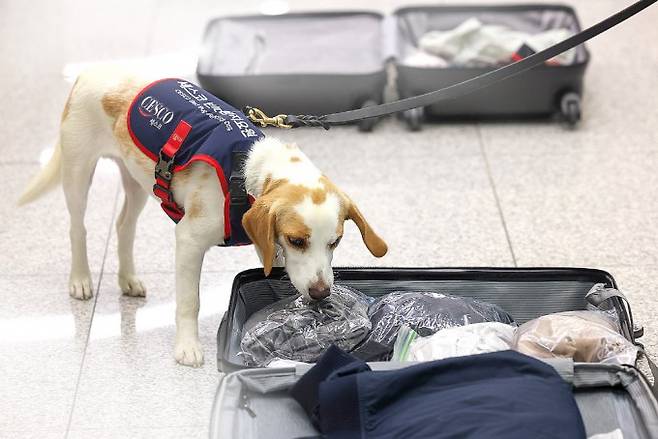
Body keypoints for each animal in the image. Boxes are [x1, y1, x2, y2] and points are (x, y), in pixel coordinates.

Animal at [20, 66, 386, 368]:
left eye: (335, 242)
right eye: (297, 240)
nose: (322, 293)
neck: (246, 170)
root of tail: (90, 70)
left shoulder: (267, 243)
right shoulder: (189, 241)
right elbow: (189, 302)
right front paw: (187, 347)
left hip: (137, 181)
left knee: (123, 226)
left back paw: (127, 278)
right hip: (77, 172)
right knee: (77, 228)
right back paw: (80, 279)